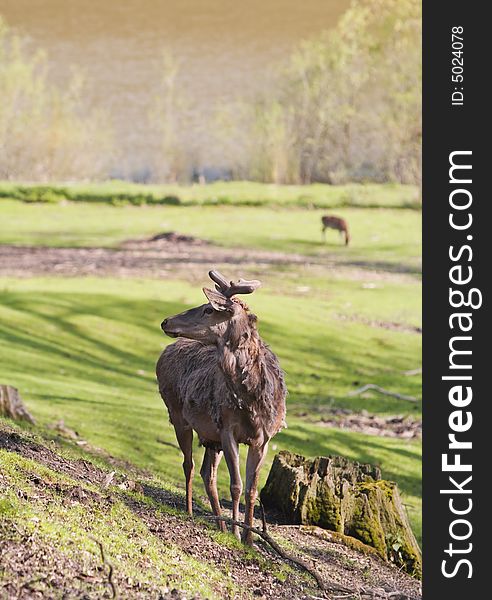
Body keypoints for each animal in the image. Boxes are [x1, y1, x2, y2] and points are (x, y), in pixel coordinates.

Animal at [156, 270, 286, 544]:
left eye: (208, 309)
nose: (165, 322)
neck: (252, 403)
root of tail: (165, 352)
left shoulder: (264, 439)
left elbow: (252, 489)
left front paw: (249, 539)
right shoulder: (227, 429)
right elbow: (236, 485)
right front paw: (238, 534)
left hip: (210, 437)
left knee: (207, 473)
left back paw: (220, 524)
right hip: (177, 415)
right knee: (189, 465)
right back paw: (191, 511)